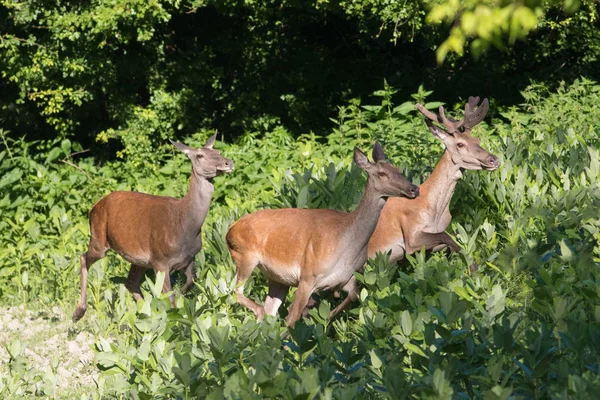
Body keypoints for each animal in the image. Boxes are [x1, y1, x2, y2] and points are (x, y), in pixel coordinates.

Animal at [73, 134, 234, 322]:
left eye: (218, 151)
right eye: (199, 155)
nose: (228, 162)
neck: (184, 225)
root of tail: (93, 208)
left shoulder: (190, 257)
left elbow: (190, 282)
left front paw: (180, 300)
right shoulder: (160, 260)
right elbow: (169, 298)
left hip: (139, 259)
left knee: (130, 283)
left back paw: (145, 313)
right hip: (99, 238)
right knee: (83, 257)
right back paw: (78, 312)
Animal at [227, 142, 420, 326]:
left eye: (398, 170)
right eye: (382, 173)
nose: (414, 189)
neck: (346, 243)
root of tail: (229, 230)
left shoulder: (345, 277)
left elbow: (354, 295)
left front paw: (324, 318)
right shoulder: (307, 276)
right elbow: (292, 317)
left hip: (276, 277)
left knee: (269, 309)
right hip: (245, 256)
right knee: (235, 293)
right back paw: (259, 314)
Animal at [368, 97, 500, 262]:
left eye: (477, 141)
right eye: (460, 144)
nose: (494, 160)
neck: (435, 212)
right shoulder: (411, 235)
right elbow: (448, 238)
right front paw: (471, 263)